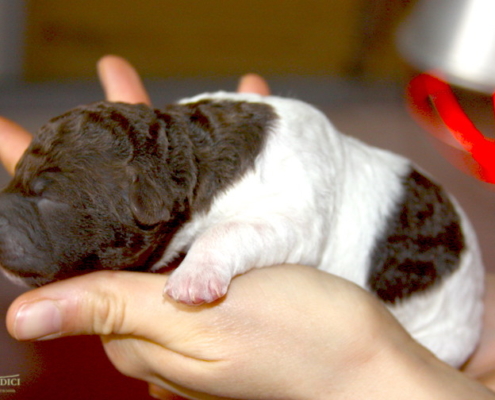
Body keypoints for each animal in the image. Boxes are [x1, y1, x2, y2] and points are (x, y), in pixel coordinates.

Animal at [0, 92, 484, 368]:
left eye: (49, 197)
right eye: (15, 179)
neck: (191, 151)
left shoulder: (293, 215)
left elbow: (230, 231)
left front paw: (194, 277)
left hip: (445, 337)